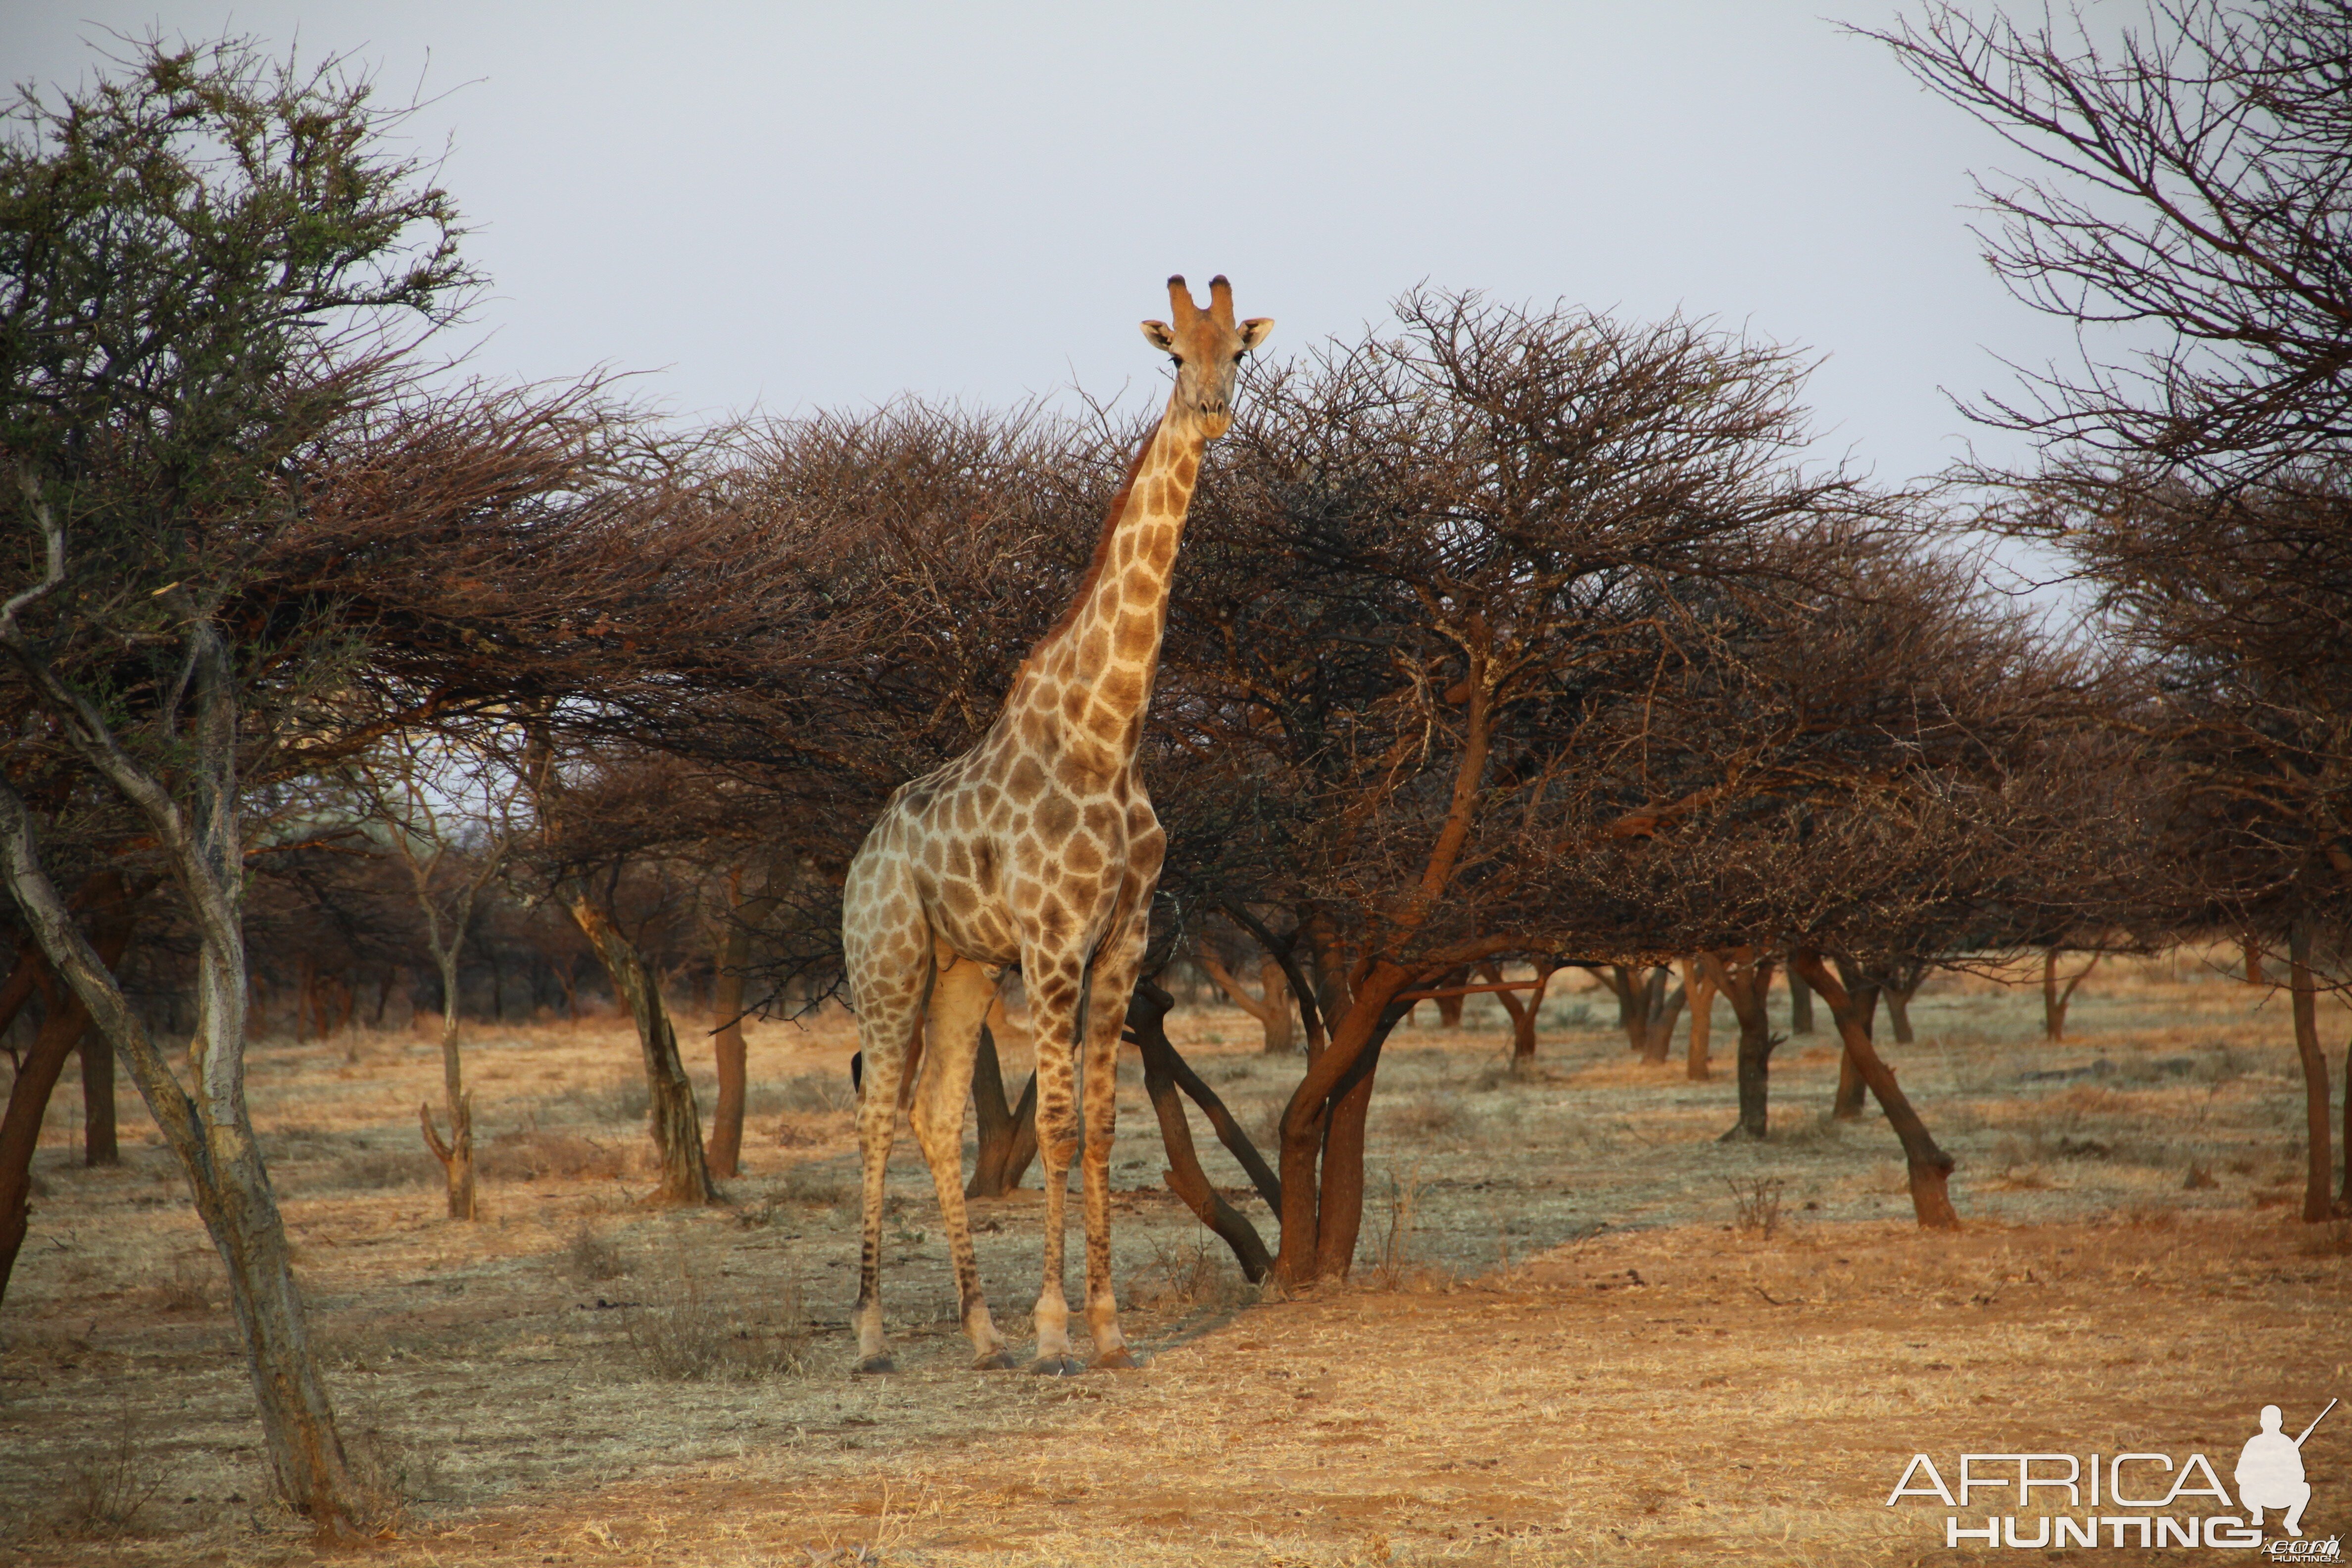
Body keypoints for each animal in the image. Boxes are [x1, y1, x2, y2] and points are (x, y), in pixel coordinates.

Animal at [837, 272, 1261, 1372]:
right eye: (1173, 355)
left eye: (1238, 352)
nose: (1211, 411)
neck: (1109, 733)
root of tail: (861, 858)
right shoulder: (1056, 939)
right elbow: (1063, 1128)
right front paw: (1056, 1327)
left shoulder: (1125, 938)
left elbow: (1105, 1125)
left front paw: (1106, 1329)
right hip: (887, 958)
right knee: (875, 1110)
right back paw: (873, 1335)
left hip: (962, 965)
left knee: (937, 1112)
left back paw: (980, 1333)